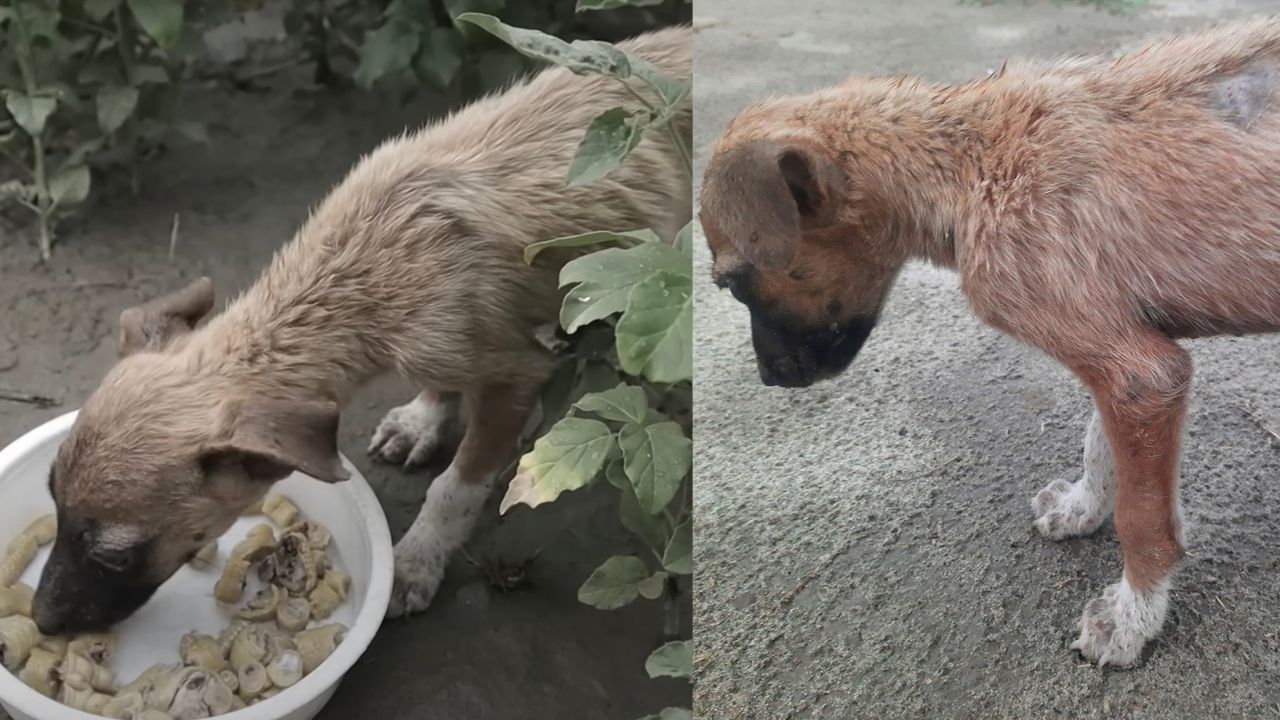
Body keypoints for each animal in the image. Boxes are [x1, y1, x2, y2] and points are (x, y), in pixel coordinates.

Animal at [696, 18, 1280, 666]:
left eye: (733, 282)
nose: (769, 378)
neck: (970, 165)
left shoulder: (1141, 375)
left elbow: (1143, 517)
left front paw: (1133, 613)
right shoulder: (1130, 358)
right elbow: (1100, 448)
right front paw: (1083, 508)